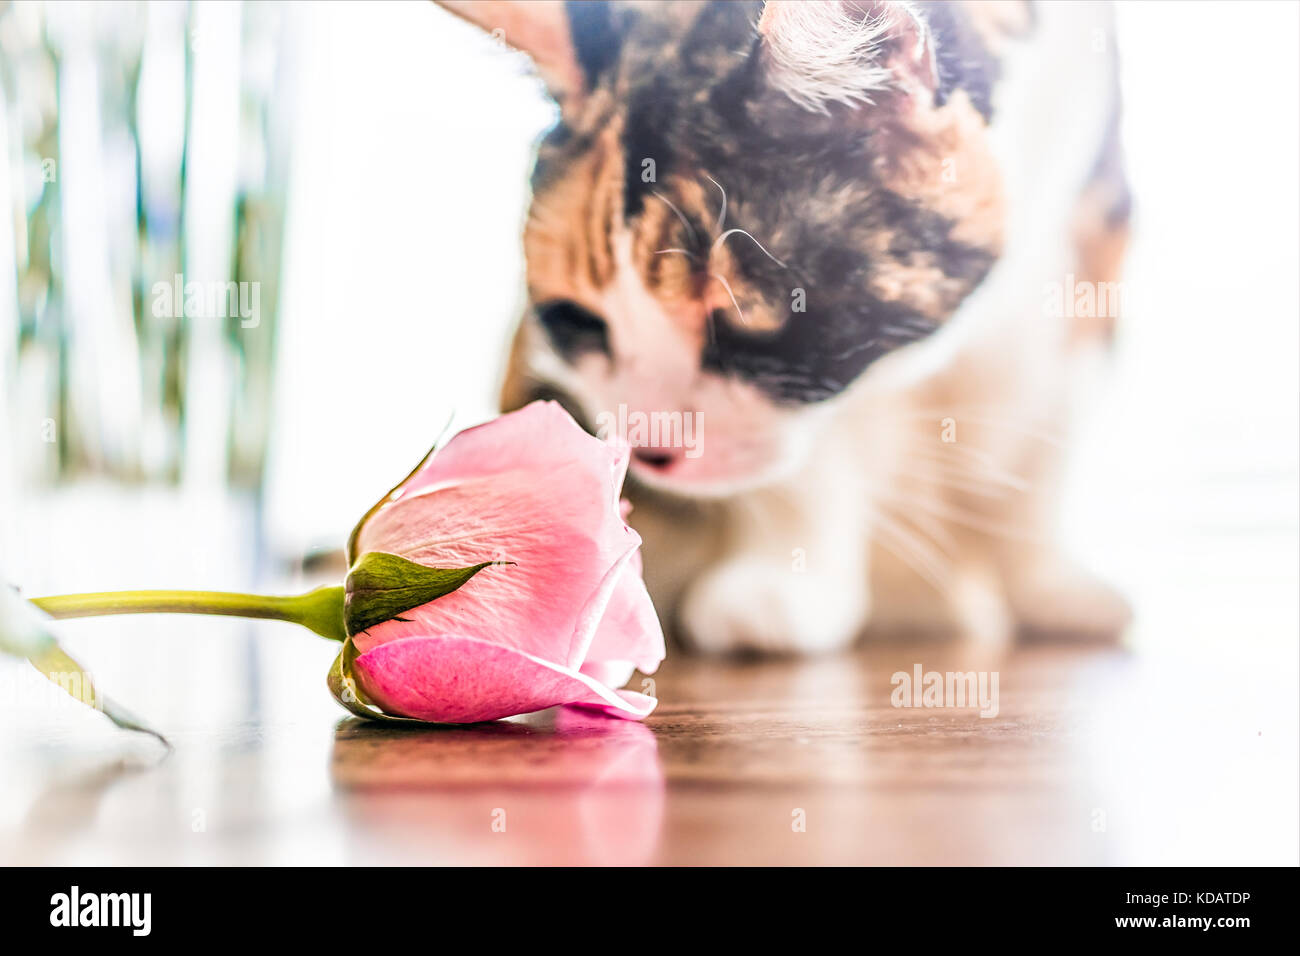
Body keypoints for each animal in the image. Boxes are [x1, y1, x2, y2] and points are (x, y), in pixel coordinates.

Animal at [441, 0, 1133, 655]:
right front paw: (781, 588)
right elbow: (808, 463)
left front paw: (1046, 586)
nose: (650, 451)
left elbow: (1046, 451)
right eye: (577, 318)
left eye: (741, 330)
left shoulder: (1088, 252)